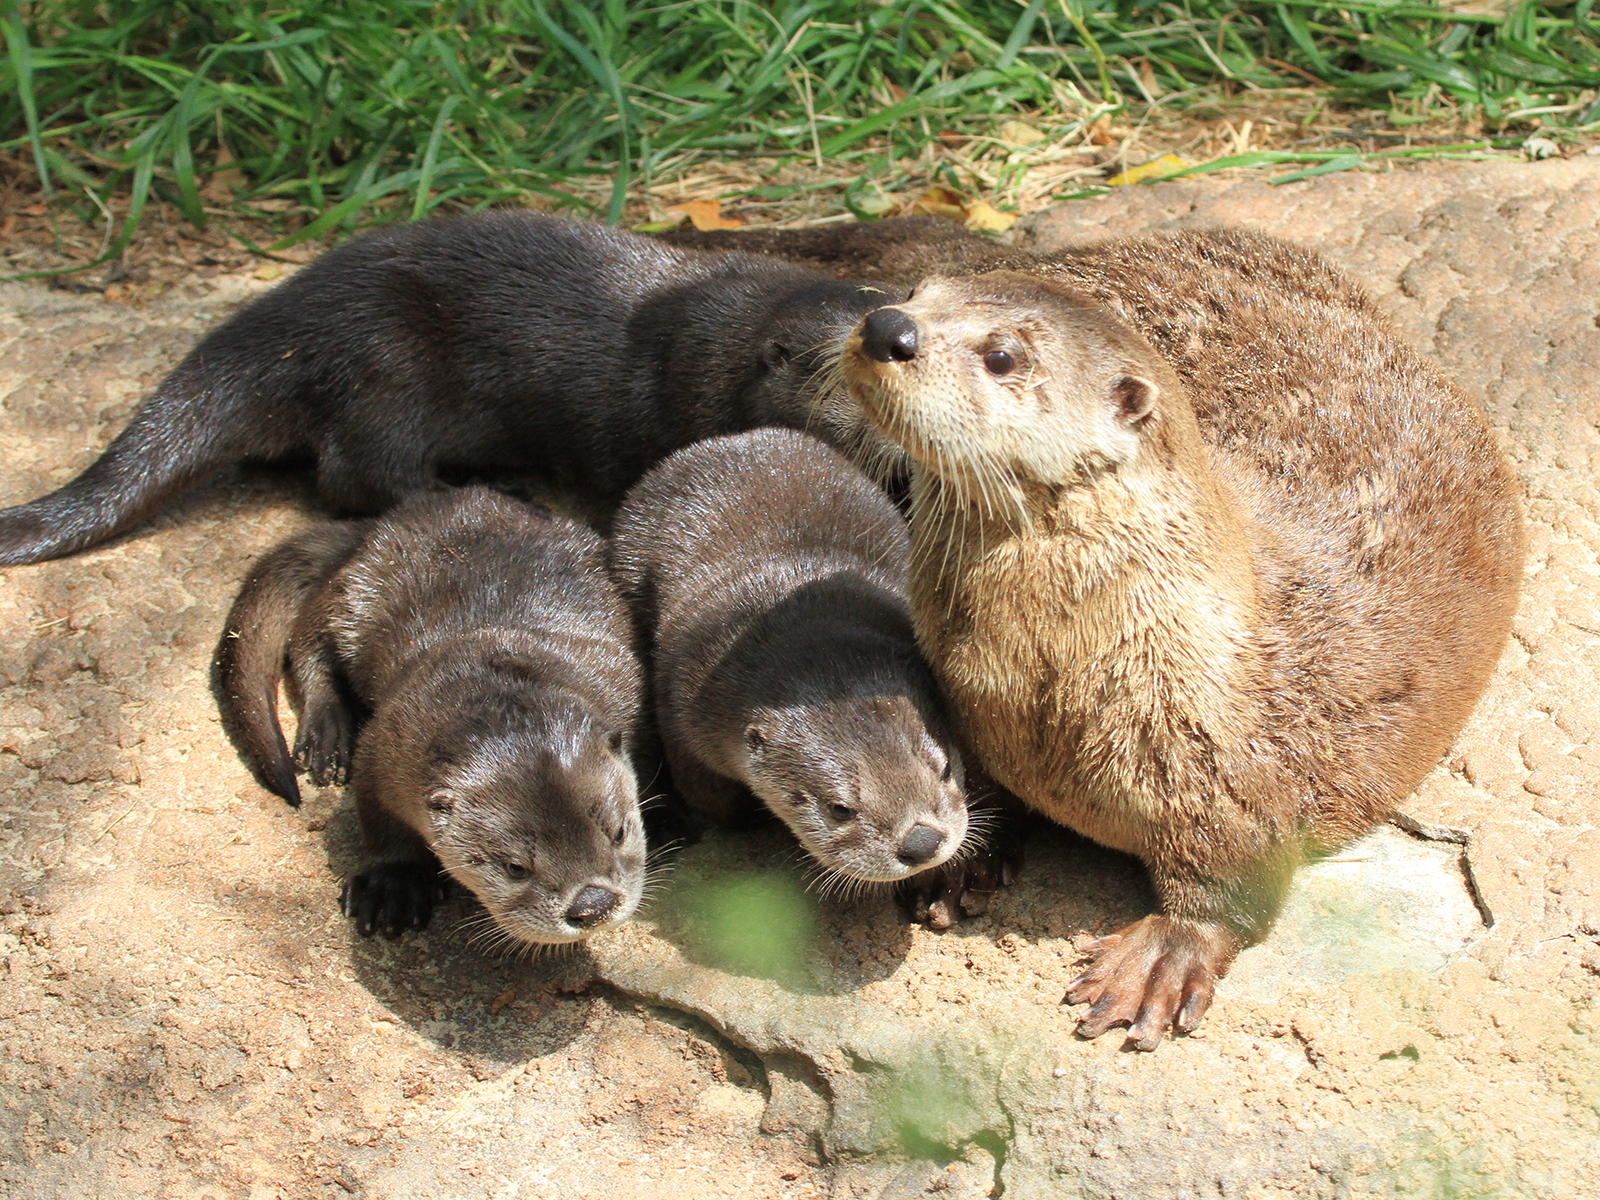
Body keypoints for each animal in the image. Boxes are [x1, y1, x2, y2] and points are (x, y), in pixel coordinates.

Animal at [0, 211, 899, 566]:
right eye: (850, 374)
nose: (890, 336)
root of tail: (280, 321)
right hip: (383, 362)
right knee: (355, 477)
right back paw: (493, 492)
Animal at [215, 487, 648, 945]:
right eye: (515, 867)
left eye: (619, 833)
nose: (592, 905)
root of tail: (382, 521)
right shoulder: (385, 746)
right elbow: (379, 818)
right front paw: (393, 884)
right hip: (354, 590)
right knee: (309, 641)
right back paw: (326, 735)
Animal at [841, 244, 1524, 1049]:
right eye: (920, 292)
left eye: (1003, 356)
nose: (888, 327)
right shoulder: (959, 696)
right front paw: (957, 860)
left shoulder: (1229, 764)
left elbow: (1239, 877)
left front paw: (1163, 958)